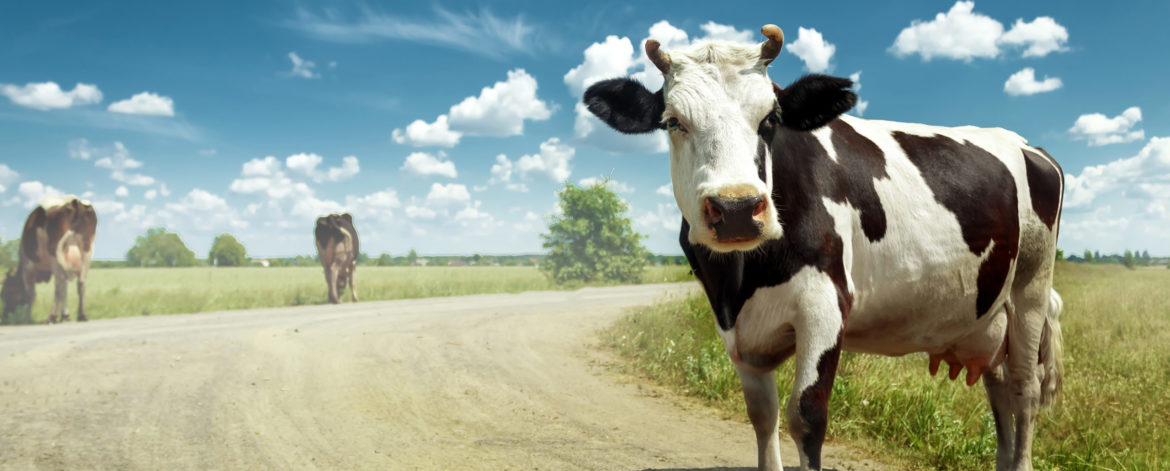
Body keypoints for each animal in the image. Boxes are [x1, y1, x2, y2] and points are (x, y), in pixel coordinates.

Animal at [0, 195, 97, 324]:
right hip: (86, 251)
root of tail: (73, 200)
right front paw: (66, 316)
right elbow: (65, 290)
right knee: (80, 283)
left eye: (6, 293)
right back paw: (81, 315)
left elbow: (31, 294)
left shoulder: (28, 267)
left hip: (55, 253)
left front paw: (27, 319)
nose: (4, 317)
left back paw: (52, 316)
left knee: (59, 283)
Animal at [582, 24, 1062, 471]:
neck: (744, 278)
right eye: (672, 121)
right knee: (999, 390)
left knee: (1023, 391)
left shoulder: (825, 305)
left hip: (1031, 290)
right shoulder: (734, 326)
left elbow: (806, 416)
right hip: (990, 317)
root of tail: (1028, 145)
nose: (736, 208)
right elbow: (762, 415)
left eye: (770, 120)